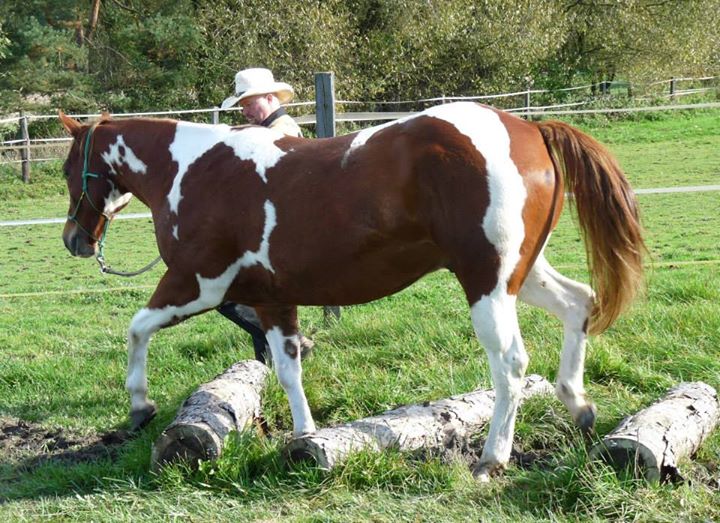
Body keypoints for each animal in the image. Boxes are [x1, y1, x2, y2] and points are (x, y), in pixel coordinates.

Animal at [59, 103, 644, 484]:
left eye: (68, 169)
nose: (74, 240)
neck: (193, 171)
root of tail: (528, 129)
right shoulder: (273, 299)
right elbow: (288, 369)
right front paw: (304, 438)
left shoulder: (196, 284)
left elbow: (136, 330)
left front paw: (140, 405)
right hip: (521, 273)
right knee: (579, 302)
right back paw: (578, 404)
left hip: (488, 285)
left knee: (512, 365)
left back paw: (491, 459)